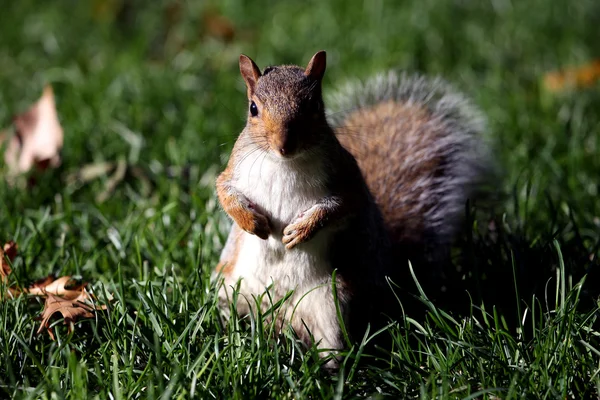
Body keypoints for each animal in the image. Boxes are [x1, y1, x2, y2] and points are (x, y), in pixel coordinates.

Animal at [213, 50, 490, 366]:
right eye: (253, 108)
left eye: (314, 105)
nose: (284, 145)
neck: (283, 163)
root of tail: (278, 318)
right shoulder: (235, 169)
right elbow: (224, 191)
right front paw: (251, 221)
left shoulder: (349, 179)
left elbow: (341, 206)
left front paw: (303, 229)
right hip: (231, 288)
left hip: (328, 304)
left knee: (330, 344)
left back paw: (331, 369)